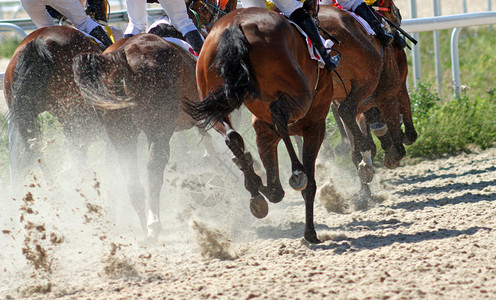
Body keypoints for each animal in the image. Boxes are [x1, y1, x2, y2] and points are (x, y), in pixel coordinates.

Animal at [186, 7, 338, 244]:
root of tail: (234, 25)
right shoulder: (315, 125)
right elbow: (308, 184)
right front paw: (310, 233)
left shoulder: (263, 132)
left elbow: (275, 190)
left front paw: (255, 184)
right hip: (299, 95)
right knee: (278, 114)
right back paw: (296, 171)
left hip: (212, 96)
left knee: (231, 135)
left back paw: (250, 176)